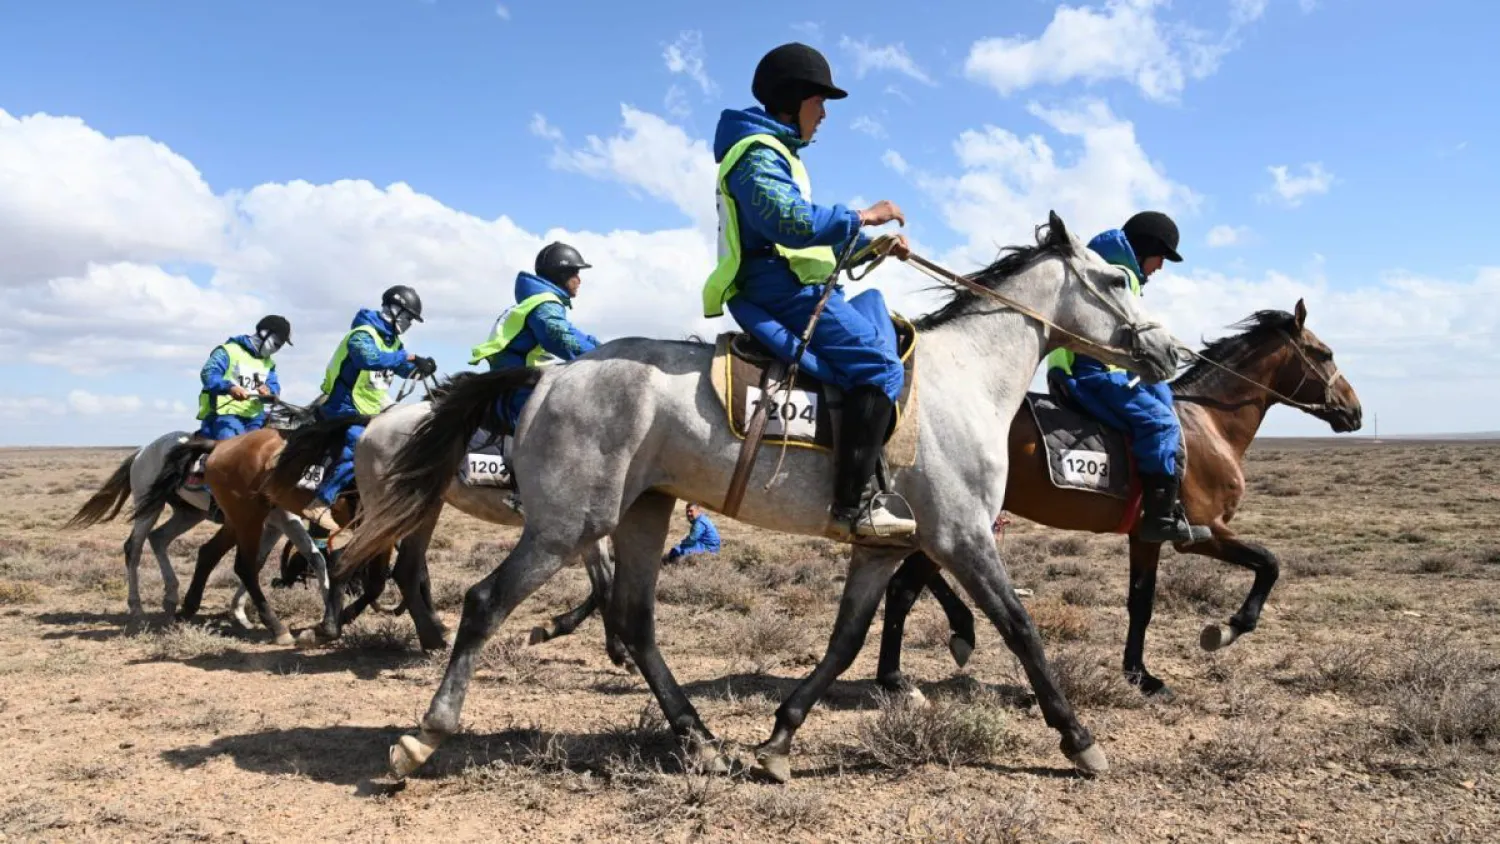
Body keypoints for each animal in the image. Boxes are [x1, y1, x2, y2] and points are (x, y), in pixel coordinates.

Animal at [348, 214, 1182, 785]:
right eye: (1117, 282)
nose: (1167, 351)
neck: (967, 377)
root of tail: (549, 377)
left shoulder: (883, 547)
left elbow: (846, 641)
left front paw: (779, 740)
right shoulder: (962, 536)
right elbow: (1020, 629)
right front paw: (1079, 740)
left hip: (641, 513)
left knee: (635, 621)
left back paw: (698, 737)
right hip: (566, 525)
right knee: (486, 602)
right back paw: (425, 734)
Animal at [876, 299, 1368, 695]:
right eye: (1325, 353)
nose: (1355, 410)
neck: (1207, 424)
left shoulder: (1147, 537)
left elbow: (1141, 602)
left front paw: (1139, 674)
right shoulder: (1203, 533)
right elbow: (1269, 563)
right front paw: (1227, 629)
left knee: (904, 581)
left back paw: (934, 647)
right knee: (903, 587)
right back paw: (903, 672)